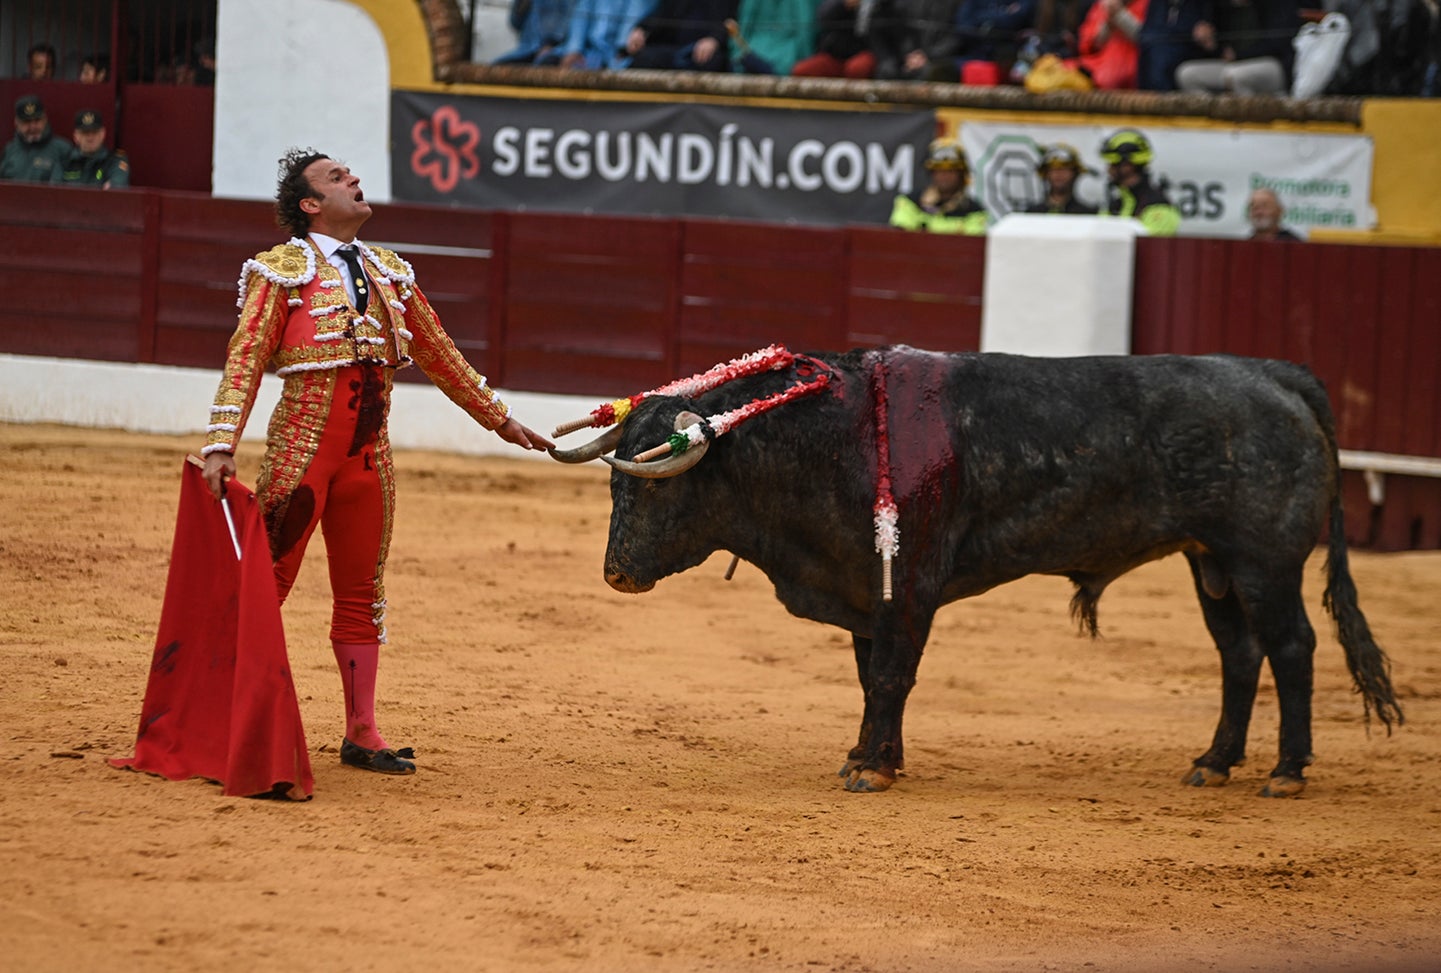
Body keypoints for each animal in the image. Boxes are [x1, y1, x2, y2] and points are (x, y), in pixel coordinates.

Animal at [553, 345, 1406, 795]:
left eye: (660, 484)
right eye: (615, 485)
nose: (617, 572)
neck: (831, 438)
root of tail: (1273, 375)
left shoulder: (908, 584)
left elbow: (890, 675)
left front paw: (872, 771)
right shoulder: (865, 586)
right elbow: (872, 678)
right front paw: (871, 756)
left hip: (1263, 559)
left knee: (1291, 647)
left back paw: (1285, 771)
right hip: (1211, 561)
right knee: (1238, 653)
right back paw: (1212, 762)